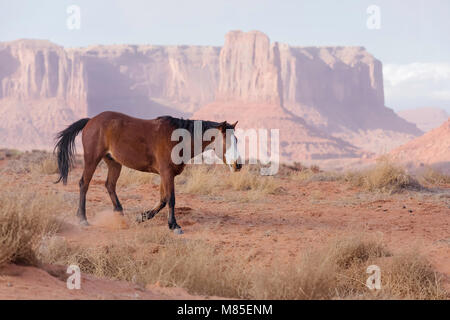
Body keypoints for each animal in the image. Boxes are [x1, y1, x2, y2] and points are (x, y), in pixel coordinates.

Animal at [54, 111, 241, 234]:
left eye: (237, 140)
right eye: (227, 141)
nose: (238, 164)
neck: (178, 139)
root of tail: (90, 121)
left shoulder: (166, 175)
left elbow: (163, 200)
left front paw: (142, 217)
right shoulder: (166, 173)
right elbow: (171, 199)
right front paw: (174, 225)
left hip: (114, 163)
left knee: (110, 185)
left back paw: (120, 214)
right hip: (92, 159)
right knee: (84, 184)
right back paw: (82, 219)